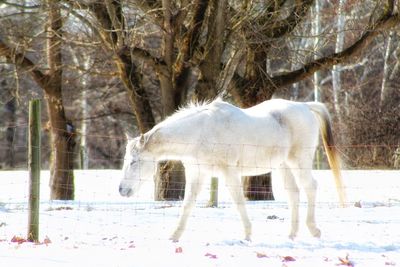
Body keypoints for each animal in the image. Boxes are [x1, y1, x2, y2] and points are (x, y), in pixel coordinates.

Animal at [118, 99, 344, 243]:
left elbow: (238, 201)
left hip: (299, 161)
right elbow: (187, 205)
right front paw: (174, 236)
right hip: (283, 165)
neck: (200, 132)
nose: (121, 190)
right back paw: (291, 235)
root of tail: (304, 106)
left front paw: (247, 235)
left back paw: (314, 230)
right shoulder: (198, 174)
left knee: (310, 187)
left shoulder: (229, 172)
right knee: (293, 194)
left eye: (134, 162)